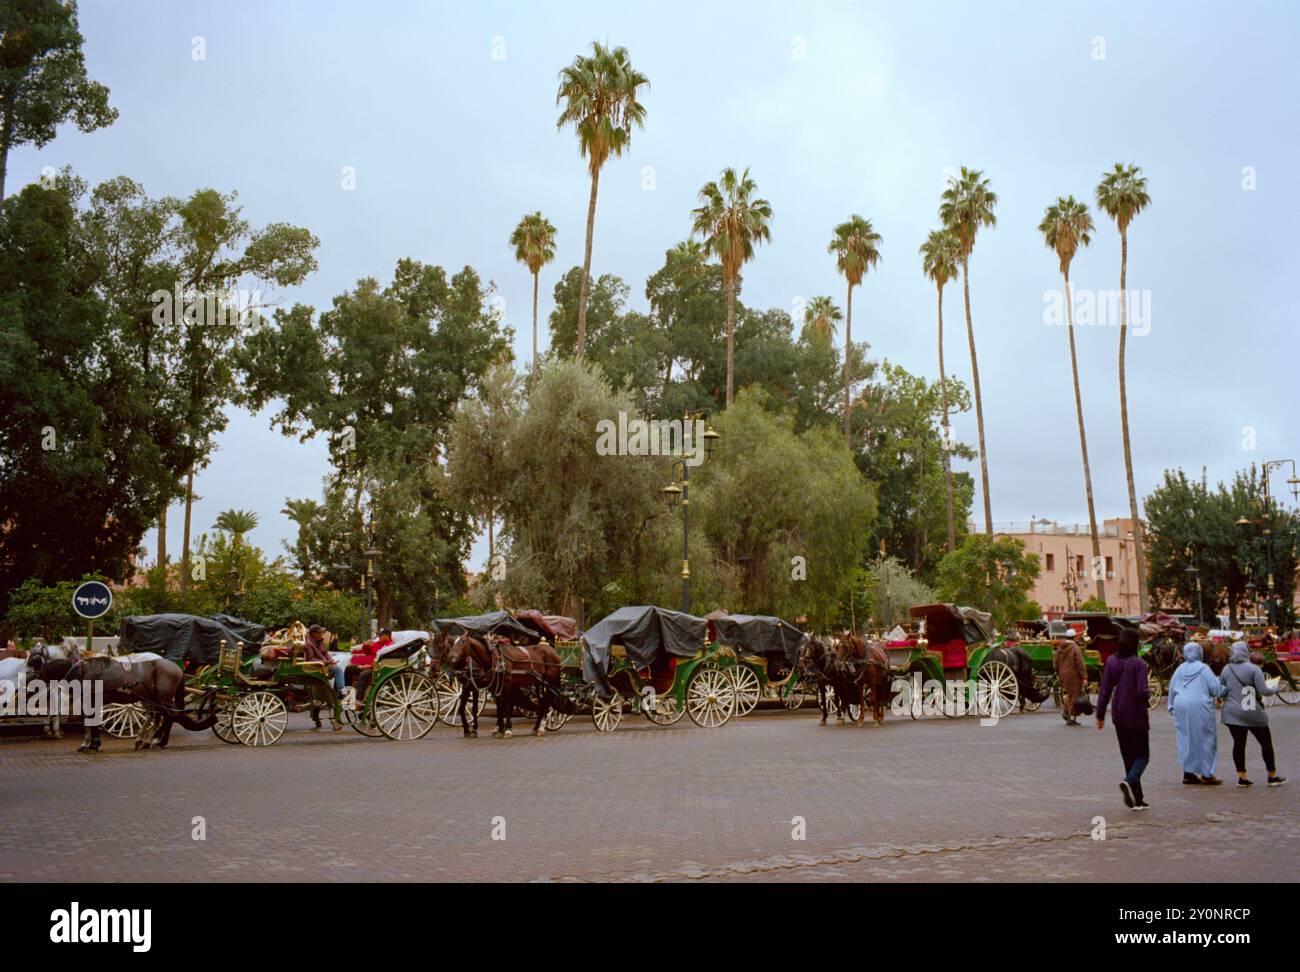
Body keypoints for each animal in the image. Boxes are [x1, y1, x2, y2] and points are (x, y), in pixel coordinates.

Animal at [441, 631, 574, 738]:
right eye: (453, 643)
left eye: (463, 642)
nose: (450, 657)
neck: (493, 658)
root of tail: (552, 650)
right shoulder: (493, 686)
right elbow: (499, 707)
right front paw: (499, 729)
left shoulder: (503, 685)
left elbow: (505, 706)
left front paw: (507, 729)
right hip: (538, 682)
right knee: (543, 702)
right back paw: (536, 727)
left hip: (550, 681)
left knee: (548, 701)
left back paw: (541, 727)